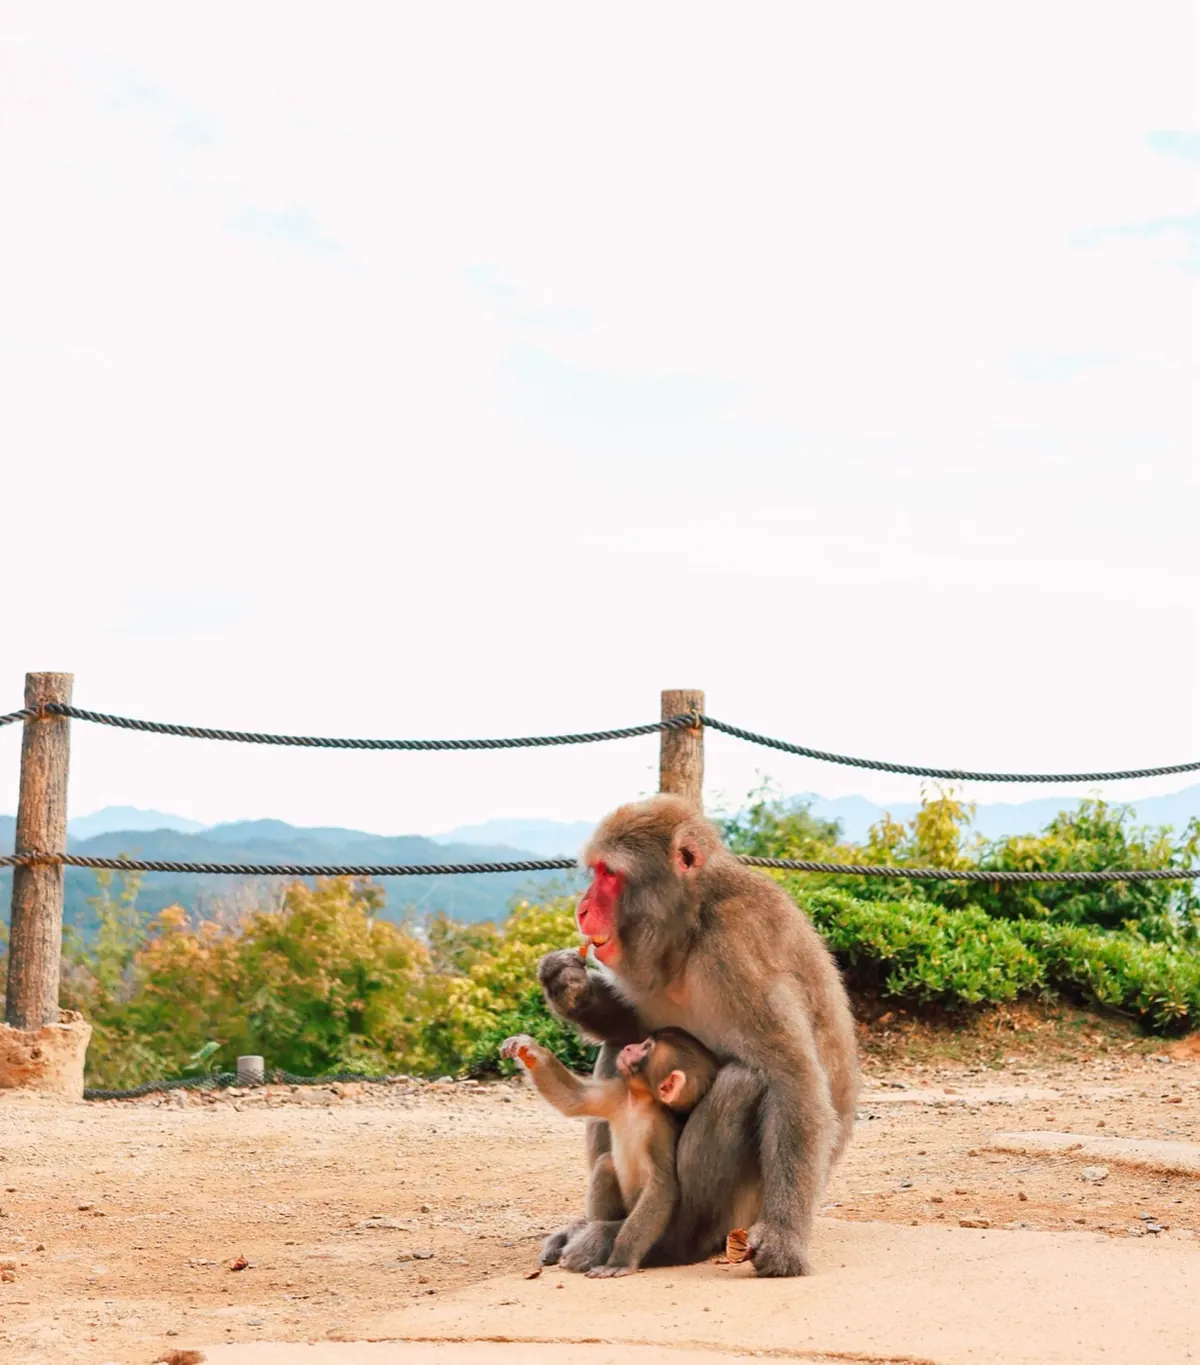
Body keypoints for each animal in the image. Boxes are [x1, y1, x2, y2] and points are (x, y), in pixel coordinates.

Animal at [500, 1027, 719, 1277]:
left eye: (646, 1048)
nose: (629, 1047)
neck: (639, 1101)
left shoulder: (660, 1130)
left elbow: (662, 1186)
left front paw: (620, 1260)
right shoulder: (618, 1092)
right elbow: (574, 1098)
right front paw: (529, 1050)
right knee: (605, 1163)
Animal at [537, 793, 859, 1278]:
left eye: (609, 874)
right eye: (595, 872)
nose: (582, 908)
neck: (690, 929)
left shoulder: (739, 949)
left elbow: (792, 1078)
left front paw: (783, 1239)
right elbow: (630, 1028)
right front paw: (568, 986)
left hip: (737, 1216)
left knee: (743, 1083)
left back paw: (663, 1243)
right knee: (614, 1049)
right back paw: (595, 1225)